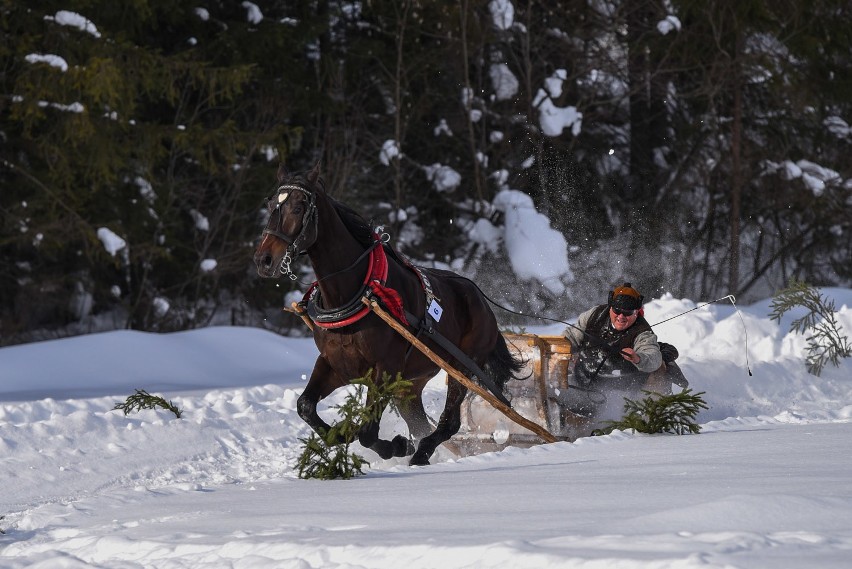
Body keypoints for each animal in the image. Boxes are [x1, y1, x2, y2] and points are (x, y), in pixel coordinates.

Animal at [253, 164, 524, 466]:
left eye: (299, 206)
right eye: (270, 204)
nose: (264, 260)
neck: (356, 293)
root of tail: (481, 301)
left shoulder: (385, 368)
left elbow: (368, 432)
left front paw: (396, 446)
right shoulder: (334, 364)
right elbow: (305, 406)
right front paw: (341, 433)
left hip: (462, 367)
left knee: (448, 423)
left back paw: (420, 453)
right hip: (410, 386)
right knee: (420, 423)